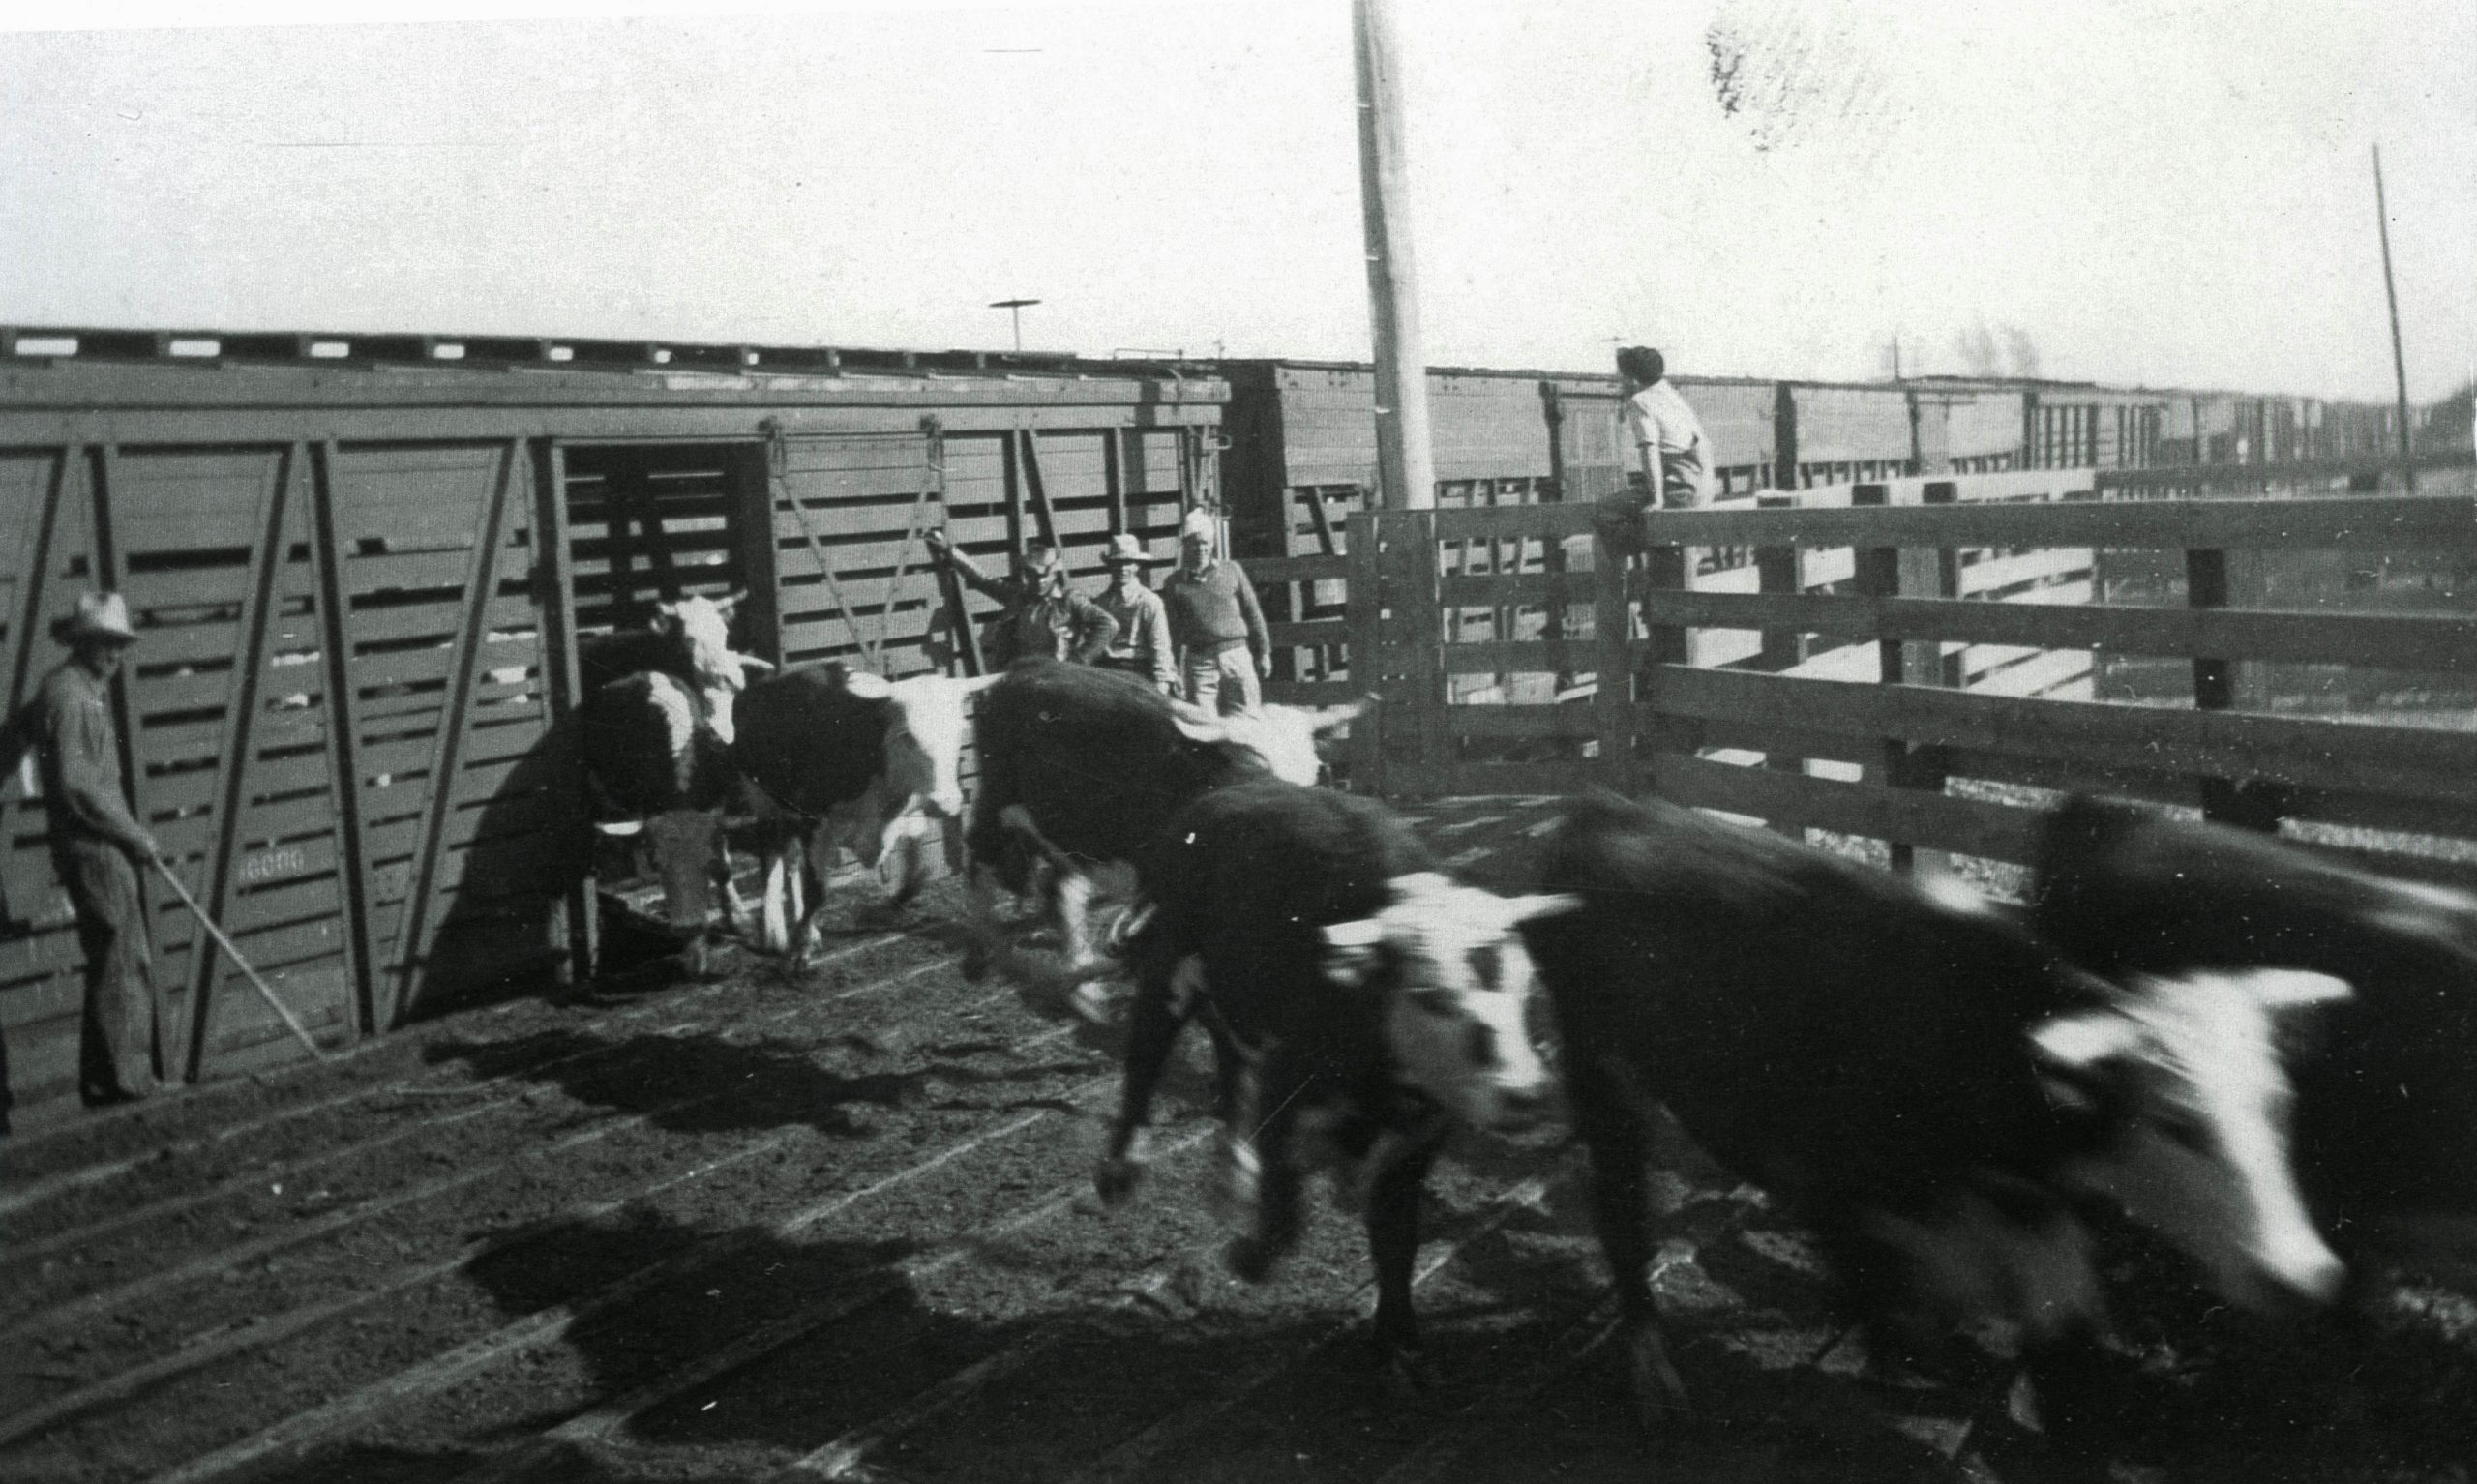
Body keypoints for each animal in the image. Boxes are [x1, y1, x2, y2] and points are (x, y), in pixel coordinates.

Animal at [728, 664, 1000, 965]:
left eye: (960, 731)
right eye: (906, 736)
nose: (946, 802)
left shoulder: (908, 809)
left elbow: (917, 861)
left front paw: (900, 895)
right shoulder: (813, 822)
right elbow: (816, 891)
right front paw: (801, 948)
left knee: (792, 862)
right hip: (763, 802)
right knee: (772, 856)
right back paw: (774, 932)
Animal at [1094, 783, 1575, 1387]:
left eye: (1526, 987)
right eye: (1432, 995)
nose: (1525, 1093)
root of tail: (1217, 798)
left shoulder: (1417, 1141)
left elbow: (1396, 1241)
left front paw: (1399, 1343)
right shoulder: (1286, 1091)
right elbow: (1284, 1211)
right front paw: (1248, 1256)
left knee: (1230, 1067)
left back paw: (1233, 1174)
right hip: (1166, 973)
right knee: (1144, 1064)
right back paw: (1120, 1171)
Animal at [1515, 797, 2347, 1446]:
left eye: (2278, 1104)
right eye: (2178, 1122)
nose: (2304, 1274)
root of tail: (1600, 813)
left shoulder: (2041, 1244)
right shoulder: (1834, 1188)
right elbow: (1895, 1325)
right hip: (1602, 1075)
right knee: (1621, 1214)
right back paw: (1657, 1386)